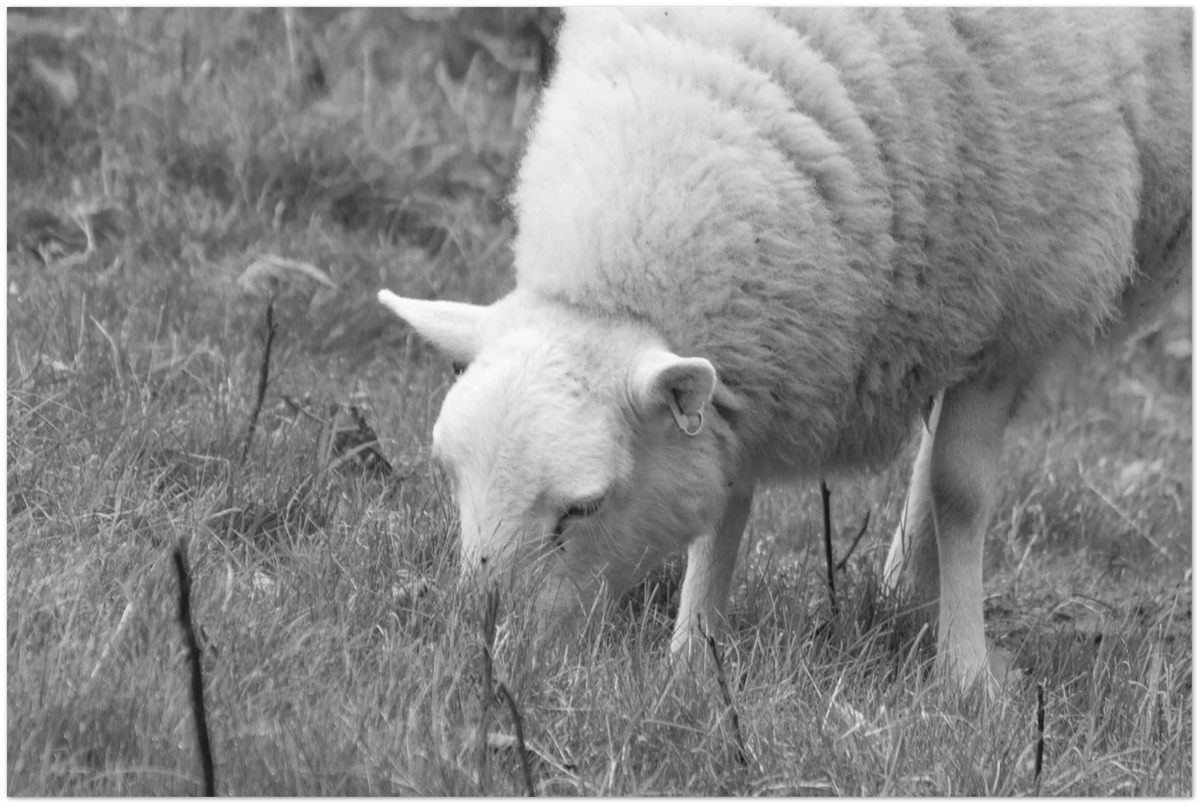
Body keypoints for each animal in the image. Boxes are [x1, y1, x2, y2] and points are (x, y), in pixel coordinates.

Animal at [379, 7, 1192, 689]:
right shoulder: (747, 368)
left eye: (583, 507)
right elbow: (724, 508)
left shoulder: (1019, 309)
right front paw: (691, 657)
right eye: (448, 473)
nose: (490, 654)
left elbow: (962, 490)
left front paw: (965, 677)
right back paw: (903, 585)